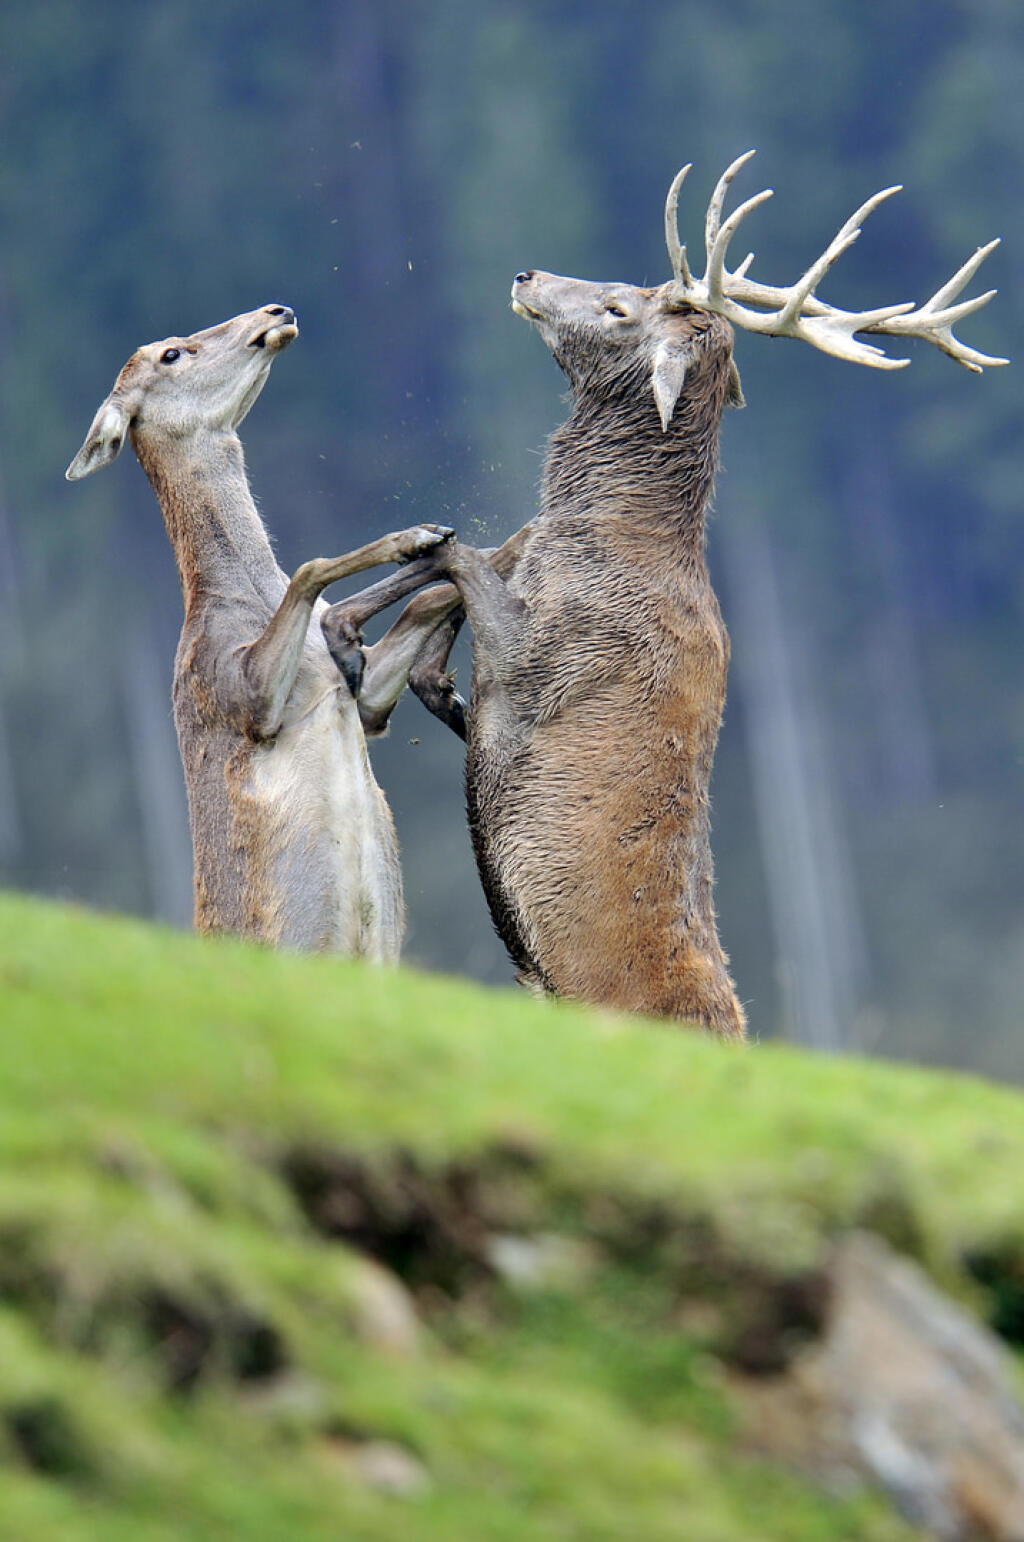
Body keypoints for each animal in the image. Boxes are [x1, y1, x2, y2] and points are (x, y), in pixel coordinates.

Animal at [62, 306, 447, 956]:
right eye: (172, 353)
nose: (276, 312)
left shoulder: (361, 701)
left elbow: (410, 612)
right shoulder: (233, 687)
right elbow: (310, 569)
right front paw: (413, 537)